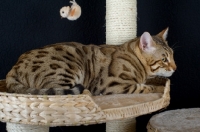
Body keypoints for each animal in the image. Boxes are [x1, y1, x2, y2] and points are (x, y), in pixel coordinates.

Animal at [5, 28, 176, 95]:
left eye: (173, 56)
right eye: (164, 59)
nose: (175, 67)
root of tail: (14, 66)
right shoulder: (112, 85)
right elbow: (147, 88)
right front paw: (161, 89)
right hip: (67, 69)